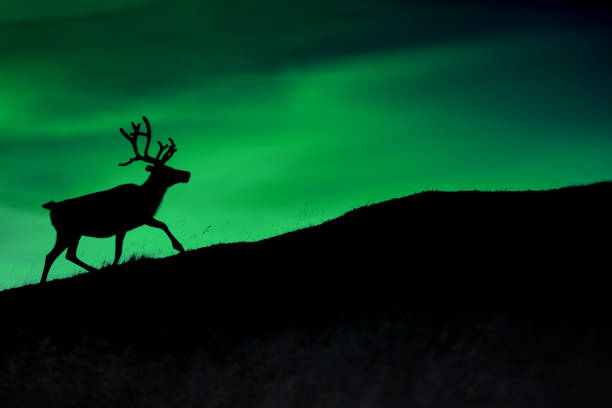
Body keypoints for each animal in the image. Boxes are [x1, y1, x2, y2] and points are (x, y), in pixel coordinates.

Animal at [40, 116, 189, 284]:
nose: (187, 174)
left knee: (65, 255)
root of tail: (52, 208)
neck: (147, 198)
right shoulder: (135, 219)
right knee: (54, 255)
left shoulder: (133, 223)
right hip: (67, 231)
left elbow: (121, 249)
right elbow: (159, 227)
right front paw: (178, 246)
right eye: (168, 170)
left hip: (73, 233)